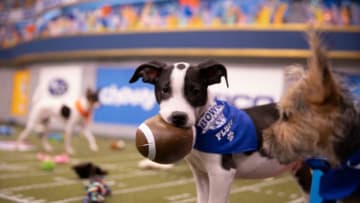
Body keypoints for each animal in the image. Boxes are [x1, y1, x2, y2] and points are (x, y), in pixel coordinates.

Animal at [130, 60, 312, 203]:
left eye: (195, 91)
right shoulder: (201, 174)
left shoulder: (222, 173)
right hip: (301, 169)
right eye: (165, 90)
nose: (178, 117)